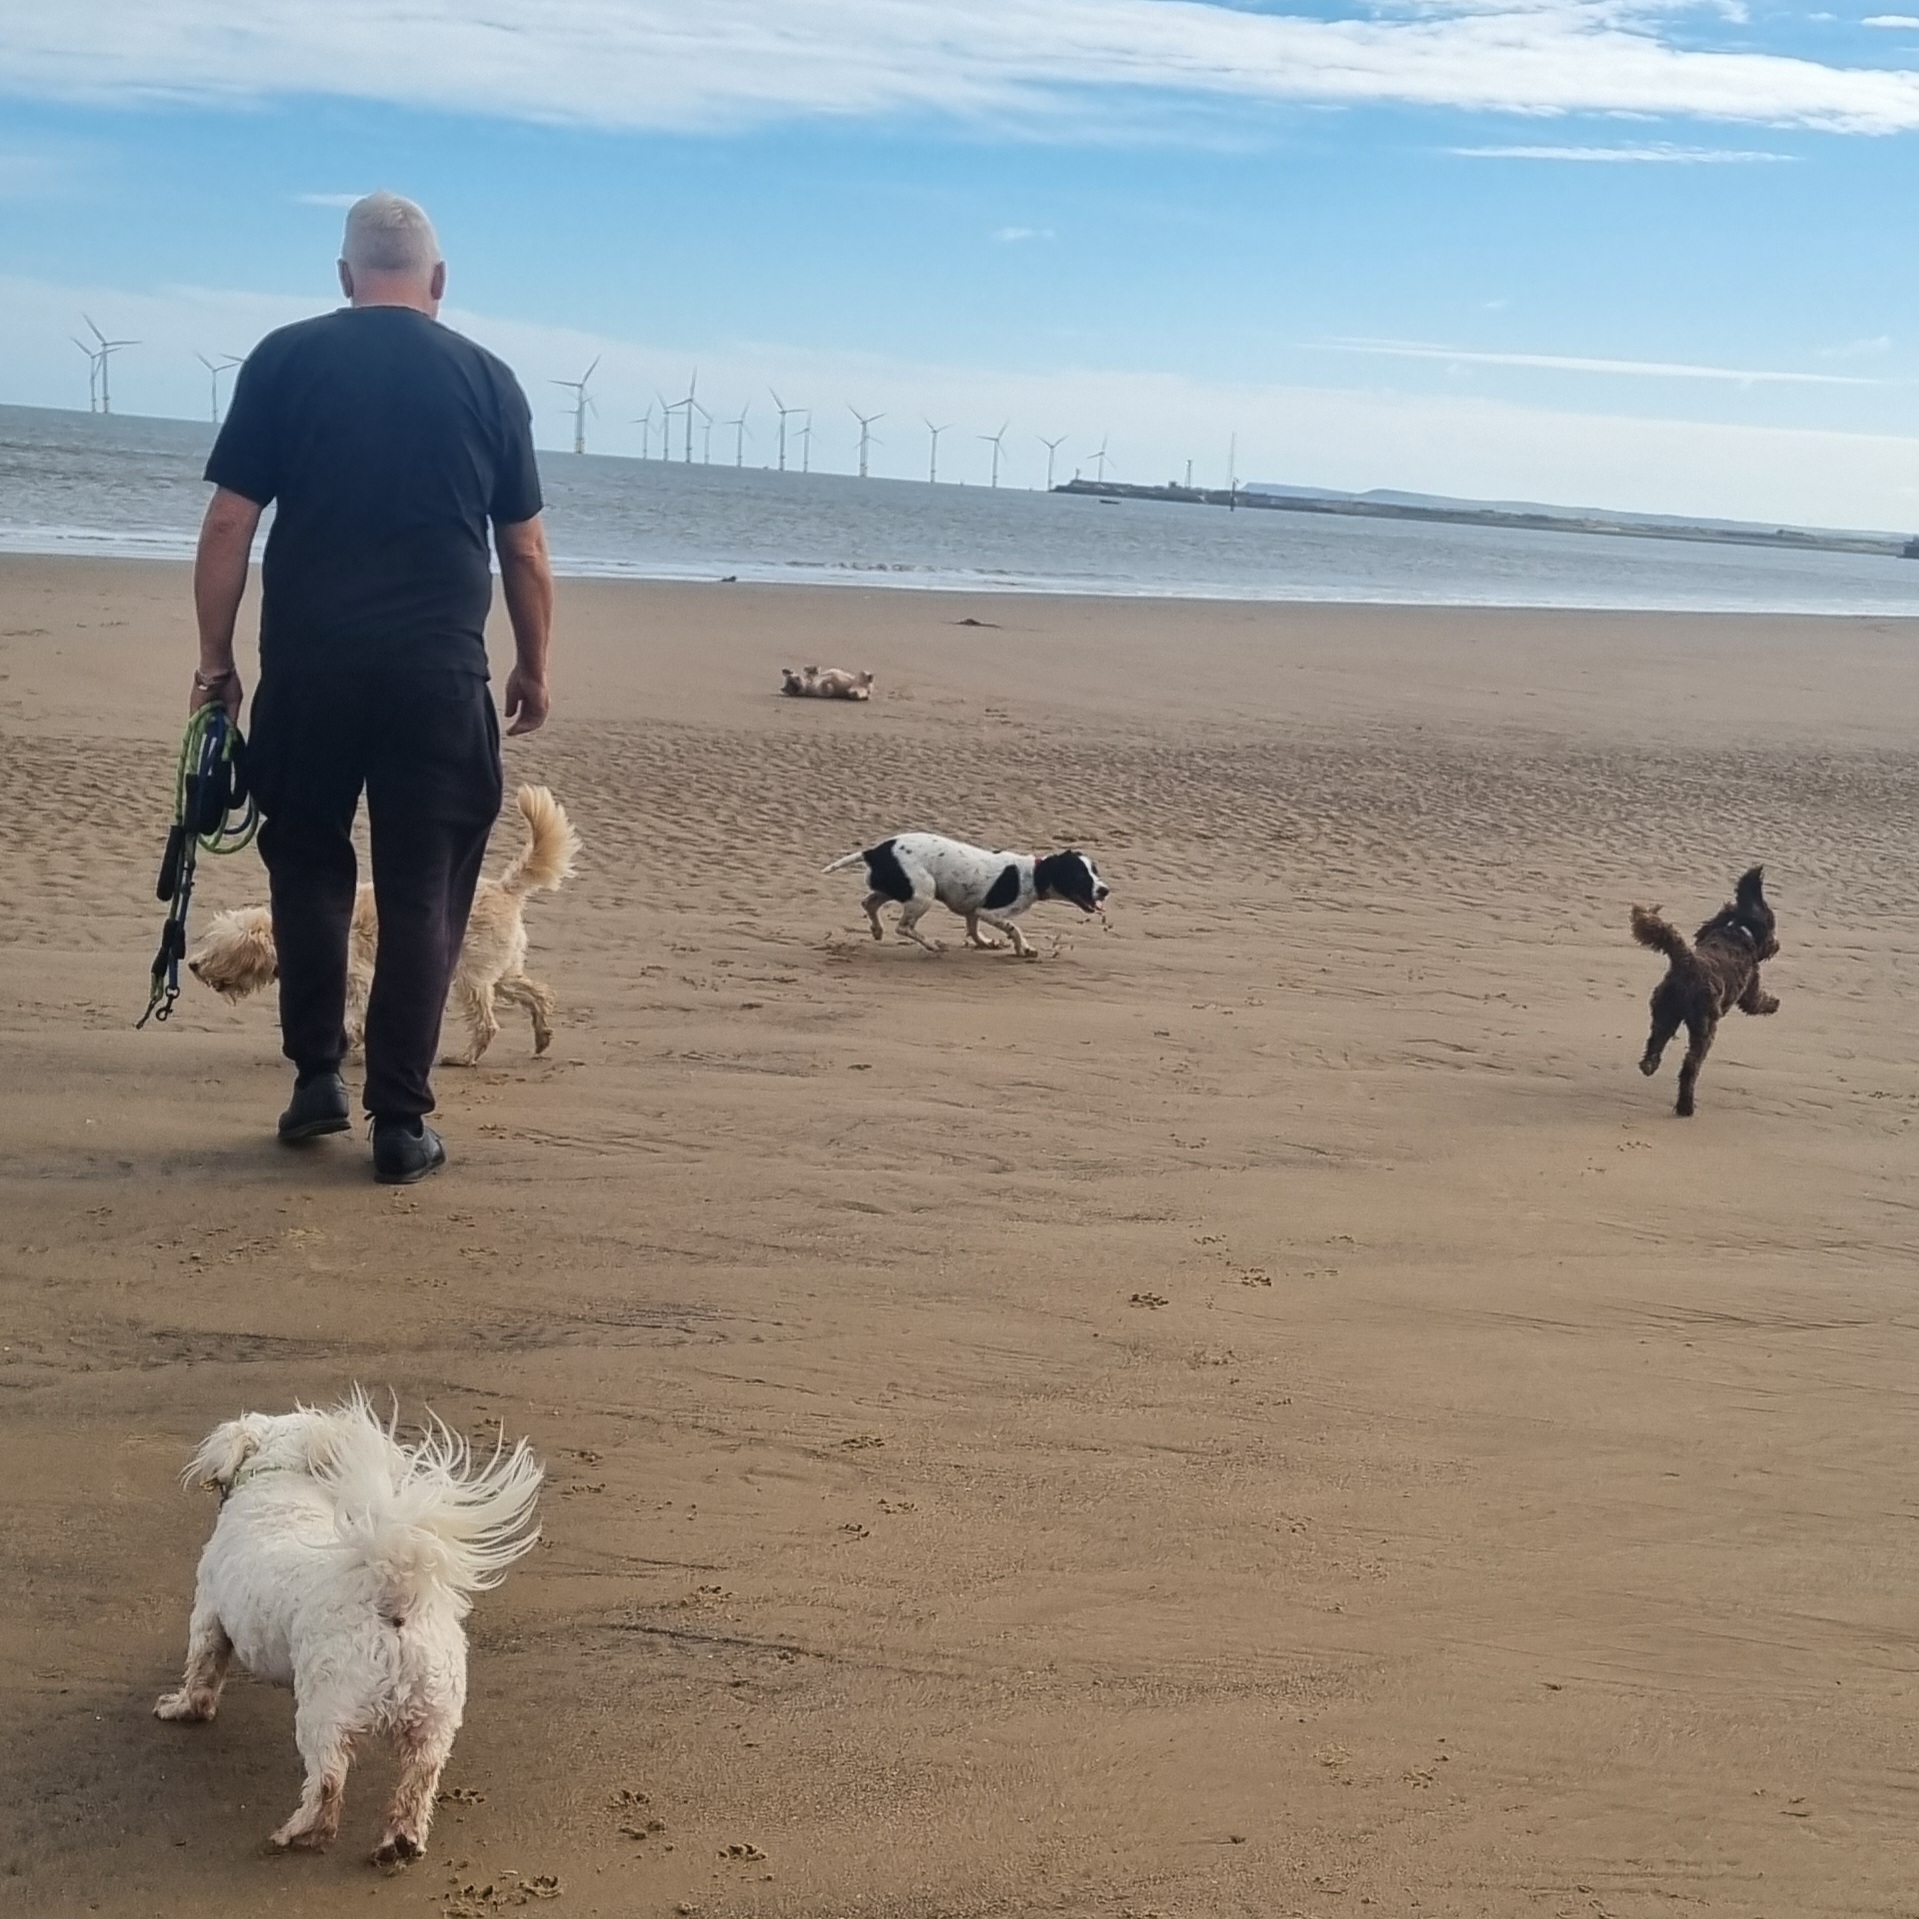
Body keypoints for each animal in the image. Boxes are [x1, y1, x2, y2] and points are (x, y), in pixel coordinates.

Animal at [155, 1392, 542, 1864]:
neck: (280, 1485)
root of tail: (392, 1598)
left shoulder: (208, 1614)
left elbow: (201, 1674)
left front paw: (180, 1707)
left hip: (324, 1709)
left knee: (327, 1779)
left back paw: (301, 1832)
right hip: (435, 1716)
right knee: (419, 1779)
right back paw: (401, 1842)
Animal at [189, 785, 579, 1065]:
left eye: (220, 946)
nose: (191, 964)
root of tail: (504, 888)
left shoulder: (357, 976)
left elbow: (353, 1015)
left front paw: (349, 1041)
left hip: (471, 977)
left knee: (487, 1024)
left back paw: (465, 1057)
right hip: (499, 971)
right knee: (537, 993)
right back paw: (542, 1035)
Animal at [825, 833, 1109, 957]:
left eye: (1095, 871)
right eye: (1081, 877)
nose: (1105, 890)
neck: (1034, 874)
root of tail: (874, 851)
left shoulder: (973, 910)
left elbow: (973, 930)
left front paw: (986, 943)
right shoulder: (989, 912)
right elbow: (1014, 928)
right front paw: (1024, 949)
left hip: (895, 887)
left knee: (868, 903)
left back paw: (877, 930)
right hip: (923, 893)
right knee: (903, 927)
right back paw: (932, 945)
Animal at [1631, 866, 1780, 1117]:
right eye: (1772, 926)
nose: (1777, 946)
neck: (1740, 931)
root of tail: (1688, 963)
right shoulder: (1751, 989)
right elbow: (1757, 1002)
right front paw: (1775, 1003)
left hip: (1665, 1012)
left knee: (1656, 1040)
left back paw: (1649, 1065)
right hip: (1705, 1026)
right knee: (1690, 1066)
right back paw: (1686, 1106)